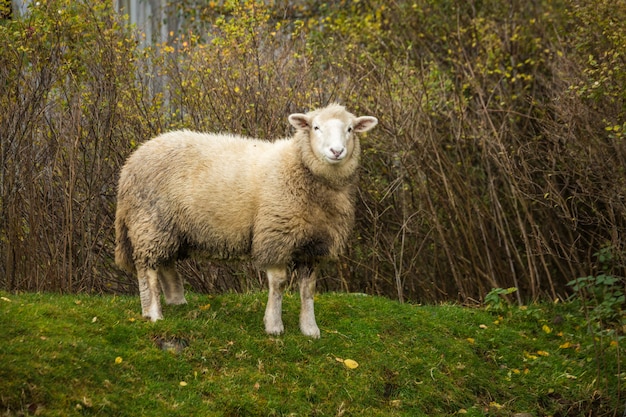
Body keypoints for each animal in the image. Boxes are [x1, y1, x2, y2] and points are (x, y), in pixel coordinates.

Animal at [113, 102, 376, 336]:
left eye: (350, 129)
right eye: (316, 127)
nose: (336, 152)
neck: (298, 166)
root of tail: (132, 160)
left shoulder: (314, 246)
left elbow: (308, 289)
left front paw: (310, 329)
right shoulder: (275, 235)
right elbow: (279, 283)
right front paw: (274, 326)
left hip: (170, 227)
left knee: (165, 263)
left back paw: (176, 301)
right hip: (150, 222)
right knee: (147, 269)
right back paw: (153, 313)